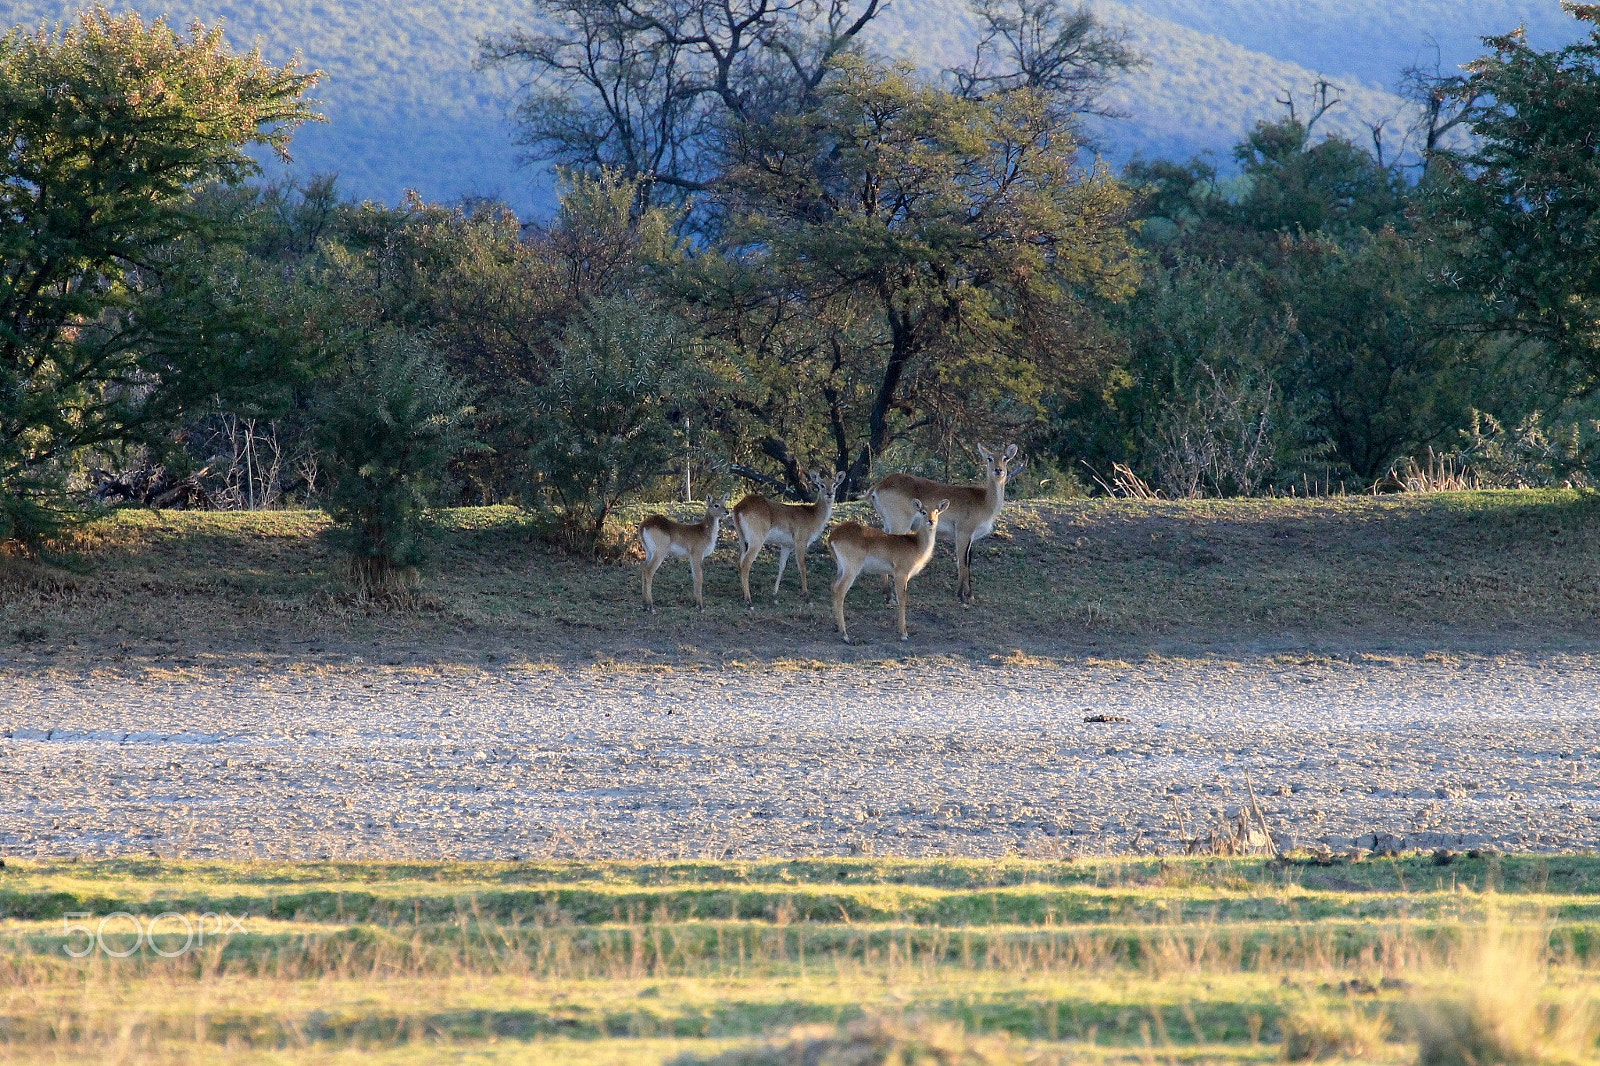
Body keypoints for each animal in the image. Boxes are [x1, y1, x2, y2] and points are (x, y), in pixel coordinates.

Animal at [732, 467, 851, 605]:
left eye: (835, 484)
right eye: (821, 484)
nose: (829, 493)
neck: (813, 516)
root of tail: (739, 507)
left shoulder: (786, 545)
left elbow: (782, 566)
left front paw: (775, 592)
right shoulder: (800, 542)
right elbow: (802, 566)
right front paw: (805, 594)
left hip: (742, 539)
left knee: (740, 562)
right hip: (756, 540)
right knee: (746, 563)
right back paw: (748, 598)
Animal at [832, 496, 940, 640]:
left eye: (937, 511)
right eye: (923, 511)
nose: (931, 521)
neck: (916, 544)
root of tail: (832, 537)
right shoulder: (900, 574)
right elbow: (902, 599)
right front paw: (903, 634)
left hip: (841, 568)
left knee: (833, 587)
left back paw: (838, 628)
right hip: (851, 570)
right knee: (840, 591)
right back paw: (845, 635)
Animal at [876, 444, 1024, 601]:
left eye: (1005, 458)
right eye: (989, 458)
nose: (998, 470)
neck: (984, 501)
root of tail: (879, 486)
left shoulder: (971, 537)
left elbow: (968, 561)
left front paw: (970, 594)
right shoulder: (963, 533)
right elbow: (962, 562)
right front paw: (961, 595)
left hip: (888, 524)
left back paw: (886, 592)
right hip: (899, 524)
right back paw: (889, 595)